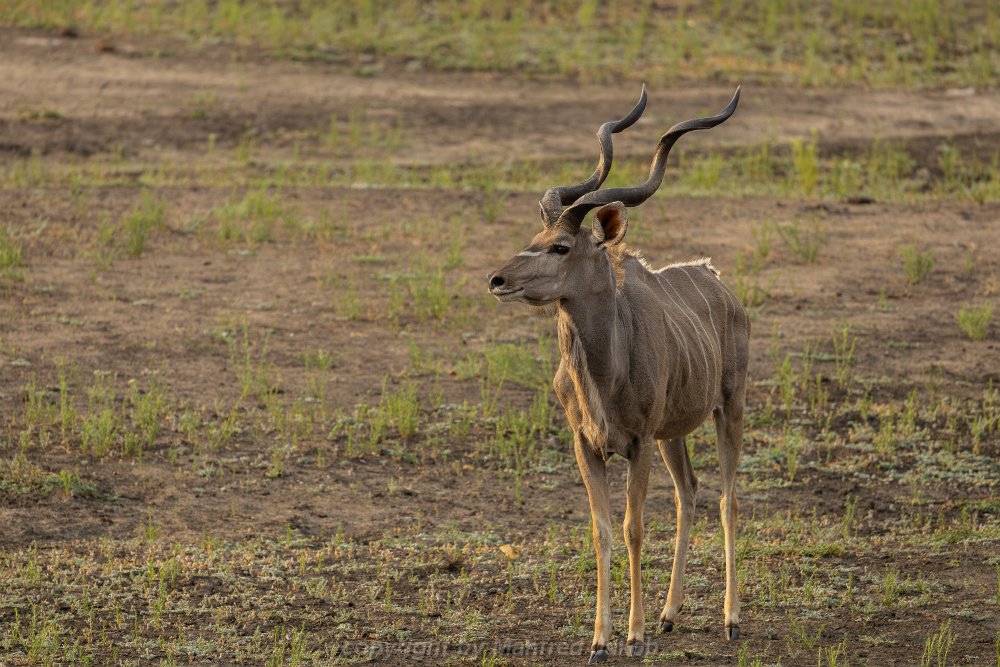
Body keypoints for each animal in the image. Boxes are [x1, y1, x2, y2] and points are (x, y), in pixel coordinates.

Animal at [487, 86, 748, 663]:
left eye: (561, 246)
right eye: (535, 235)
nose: (497, 279)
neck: (606, 370)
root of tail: (716, 278)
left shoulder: (638, 443)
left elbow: (632, 528)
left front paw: (633, 635)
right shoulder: (588, 444)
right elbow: (601, 530)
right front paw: (600, 640)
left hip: (729, 408)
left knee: (727, 498)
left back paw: (730, 620)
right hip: (674, 434)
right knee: (689, 490)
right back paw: (671, 614)